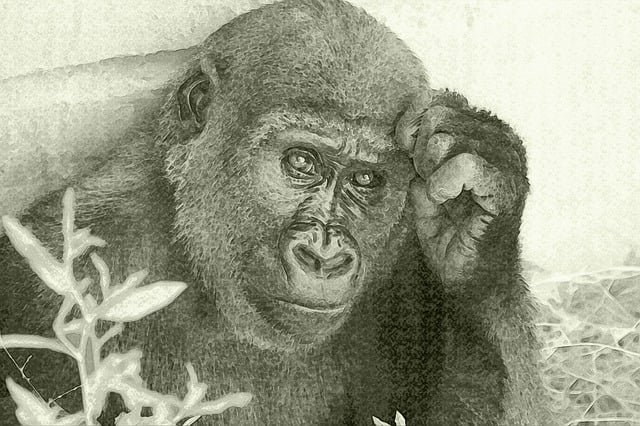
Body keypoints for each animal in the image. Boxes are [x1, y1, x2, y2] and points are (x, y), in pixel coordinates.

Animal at [0, 0, 552, 424]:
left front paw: (474, 228)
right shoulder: (49, 279)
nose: (324, 257)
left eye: (365, 180)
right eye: (301, 162)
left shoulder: (404, 254)